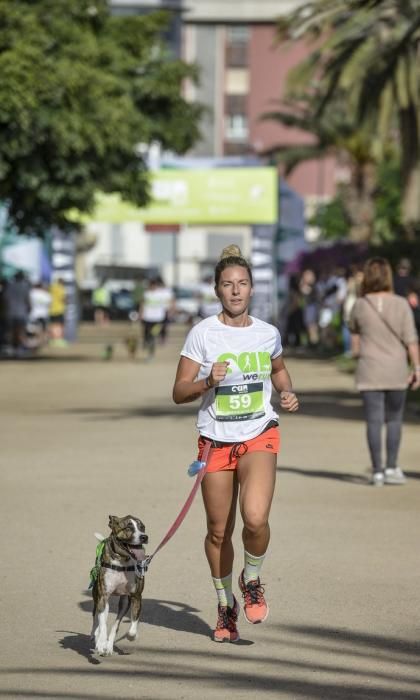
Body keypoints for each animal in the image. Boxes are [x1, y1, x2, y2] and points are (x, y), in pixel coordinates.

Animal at [90, 516, 148, 656]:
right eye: (128, 528)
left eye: (142, 527)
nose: (144, 537)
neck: (123, 561)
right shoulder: (103, 596)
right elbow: (102, 624)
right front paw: (100, 643)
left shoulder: (136, 597)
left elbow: (132, 626)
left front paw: (131, 636)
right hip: (97, 596)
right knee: (96, 617)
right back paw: (96, 636)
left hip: (124, 603)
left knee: (115, 624)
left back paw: (109, 646)